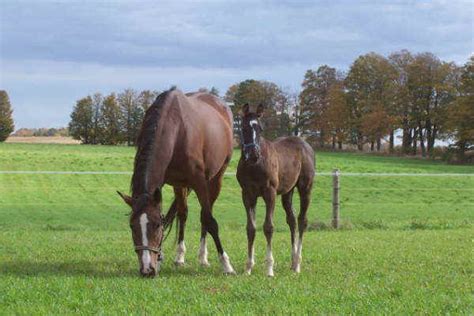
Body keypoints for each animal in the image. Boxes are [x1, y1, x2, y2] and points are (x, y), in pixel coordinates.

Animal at [117, 86, 236, 276]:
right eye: (132, 226)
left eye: (157, 225)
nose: (147, 270)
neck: (178, 129)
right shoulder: (170, 182)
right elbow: (180, 214)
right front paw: (160, 258)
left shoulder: (199, 181)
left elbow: (210, 220)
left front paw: (226, 264)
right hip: (181, 185)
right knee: (183, 214)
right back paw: (180, 256)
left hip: (216, 179)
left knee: (205, 214)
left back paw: (203, 257)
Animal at [236, 104, 314, 276]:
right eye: (243, 127)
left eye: (260, 128)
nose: (253, 155)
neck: (254, 166)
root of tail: (305, 144)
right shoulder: (247, 195)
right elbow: (251, 228)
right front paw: (248, 267)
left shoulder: (269, 193)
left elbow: (268, 227)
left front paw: (269, 268)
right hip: (287, 192)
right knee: (292, 220)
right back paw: (292, 262)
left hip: (305, 188)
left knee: (302, 220)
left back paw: (297, 264)